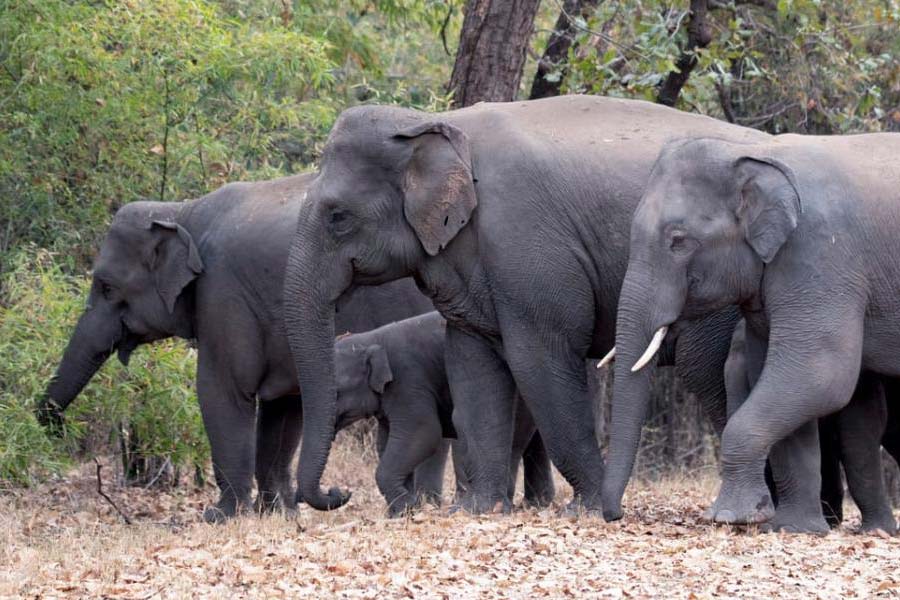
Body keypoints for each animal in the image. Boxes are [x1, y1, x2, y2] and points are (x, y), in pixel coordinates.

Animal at [36, 172, 442, 522]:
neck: (181, 211)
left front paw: (220, 517)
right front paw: (278, 514)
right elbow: (283, 408)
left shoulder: (222, 293)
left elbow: (222, 391)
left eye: (106, 286)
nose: (58, 427)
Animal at [333, 311, 556, 516]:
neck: (371, 339)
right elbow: (386, 441)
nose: (343, 492)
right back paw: (536, 504)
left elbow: (422, 433)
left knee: (515, 440)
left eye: (337, 392)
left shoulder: (408, 383)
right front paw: (402, 512)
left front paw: (408, 508)